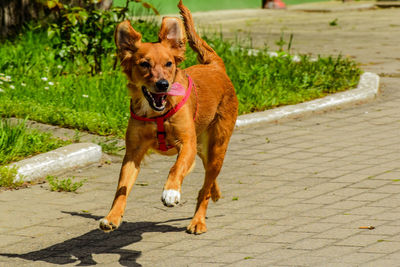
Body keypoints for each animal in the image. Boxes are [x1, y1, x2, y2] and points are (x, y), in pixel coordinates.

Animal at [99, 0, 238, 234]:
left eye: (169, 64)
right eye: (144, 64)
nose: (163, 84)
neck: (157, 114)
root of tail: (215, 66)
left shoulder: (187, 143)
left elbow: (176, 167)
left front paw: (171, 191)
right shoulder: (133, 152)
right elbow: (122, 188)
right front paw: (112, 216)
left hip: (217, 145)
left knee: (205, 187)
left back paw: (198, 220)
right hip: (203, 147)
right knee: (208, 179)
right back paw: (215, 192)